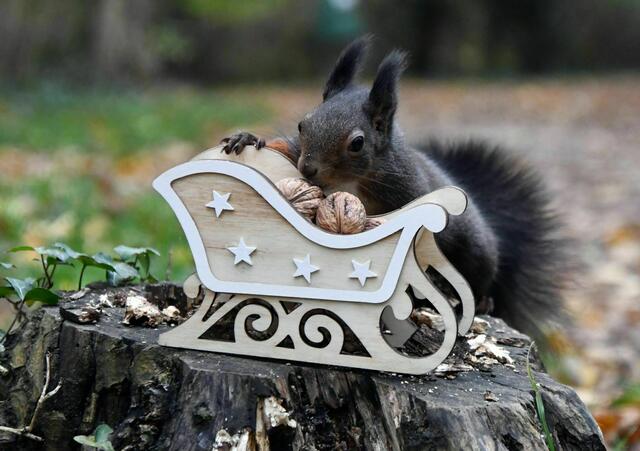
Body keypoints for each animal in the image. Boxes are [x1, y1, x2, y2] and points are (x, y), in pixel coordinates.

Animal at [220, 36, 570, 338]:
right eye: (302, 124)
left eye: (357, 143)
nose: (308, 168)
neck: (352, 180)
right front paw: (248, 138)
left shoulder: (408, 186)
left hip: (476, 248)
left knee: (479, 274)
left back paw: (482, 298)